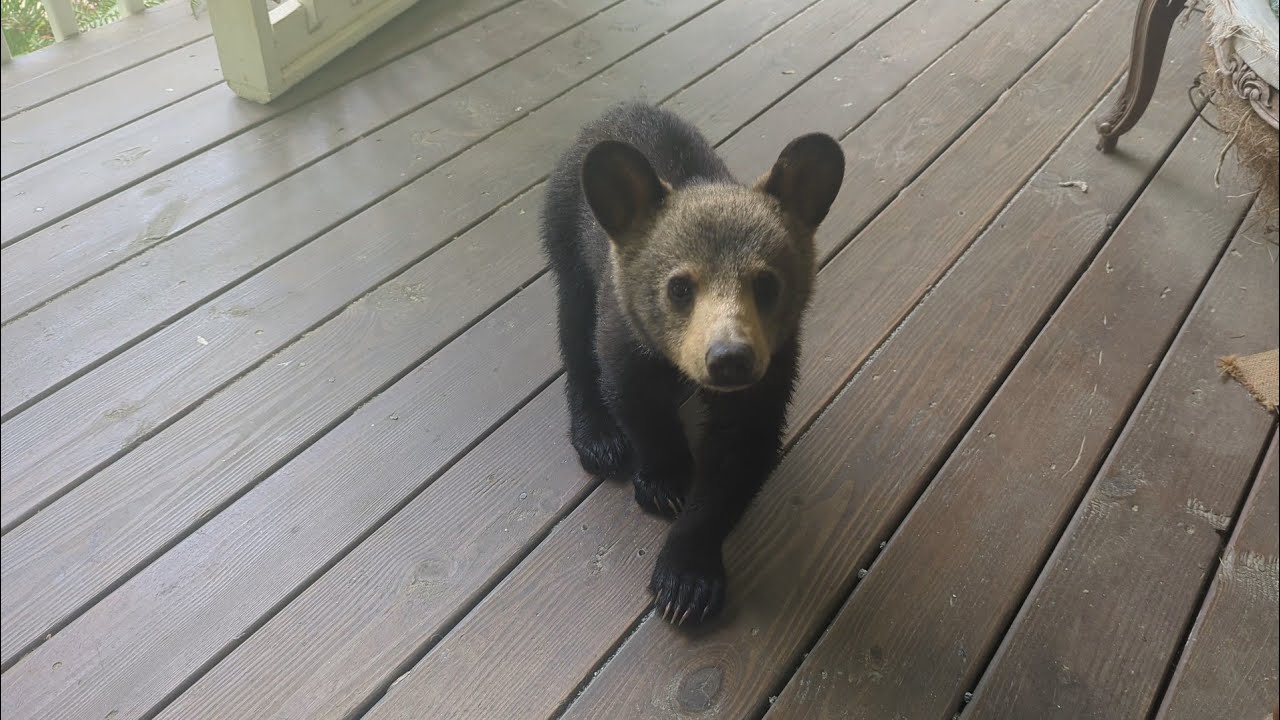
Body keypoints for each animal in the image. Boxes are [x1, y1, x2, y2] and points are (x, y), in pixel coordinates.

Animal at [540, 102, 845, 625]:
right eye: (679, 287)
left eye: (768, 284)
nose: (730, 359)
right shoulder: (624, 334)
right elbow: (635, 402)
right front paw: (664, 480)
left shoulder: (773, 370)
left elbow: (737, 459)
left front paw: (687, 578)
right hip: (566, 246)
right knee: (575, 338)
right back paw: (597, 435)